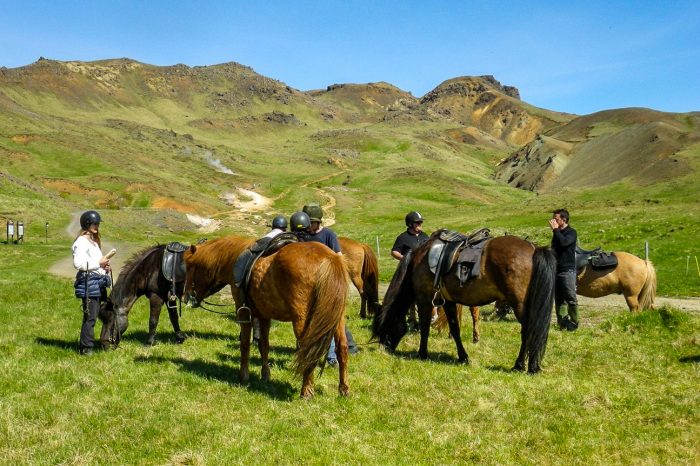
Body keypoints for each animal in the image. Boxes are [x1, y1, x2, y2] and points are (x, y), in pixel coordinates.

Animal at [372, 231, 556, 374]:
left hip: (519, 304)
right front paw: (463, 357)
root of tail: (534, 249)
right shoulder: (447, 302)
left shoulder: (425, 299)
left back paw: (521, 365)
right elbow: (455, 329)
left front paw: (422, 354)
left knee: (528, 331)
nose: (384, 348)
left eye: (384, 326)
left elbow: (424, 327)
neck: (419, 260)